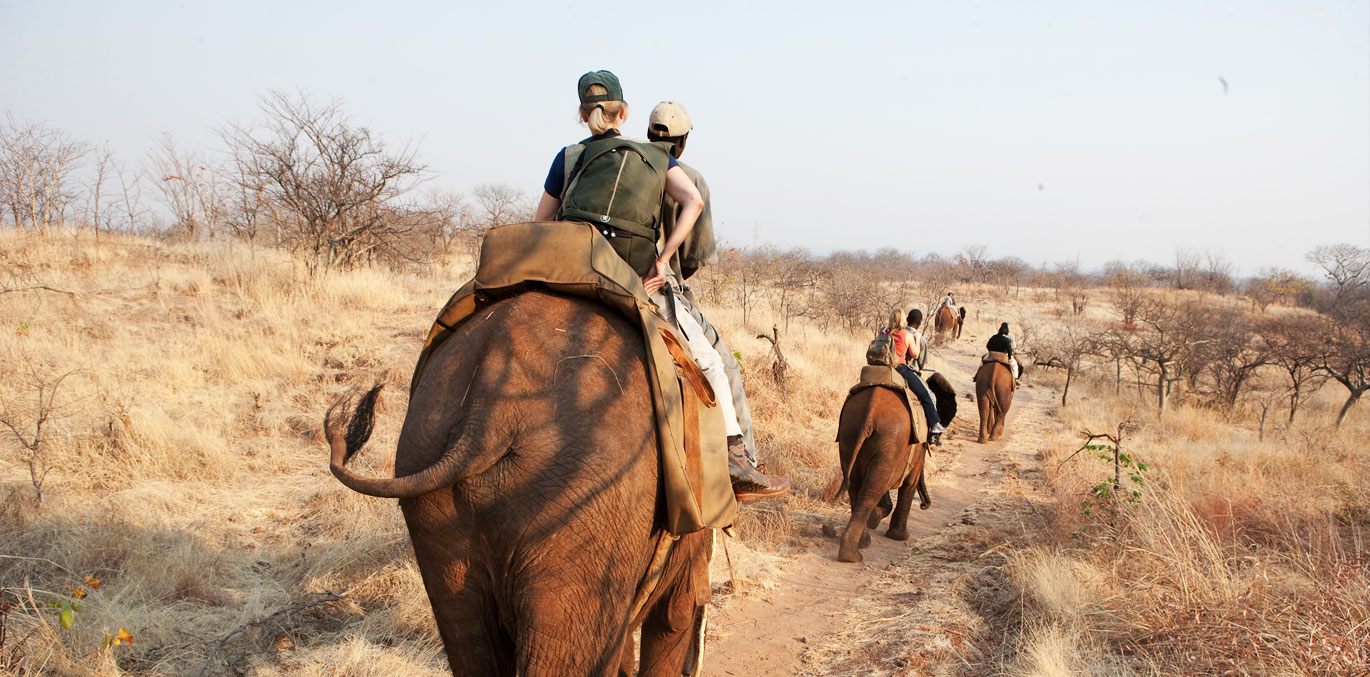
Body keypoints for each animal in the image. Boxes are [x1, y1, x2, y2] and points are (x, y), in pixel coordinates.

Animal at [827, 383, 926, 564]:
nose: (923, 505)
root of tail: (870, 412)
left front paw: (876, 518)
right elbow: (910, 484)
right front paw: (900, 537)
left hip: (849, 434)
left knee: (858, 487)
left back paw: (857, 548)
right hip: (890, 439)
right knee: (870, 490)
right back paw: (854, 555)